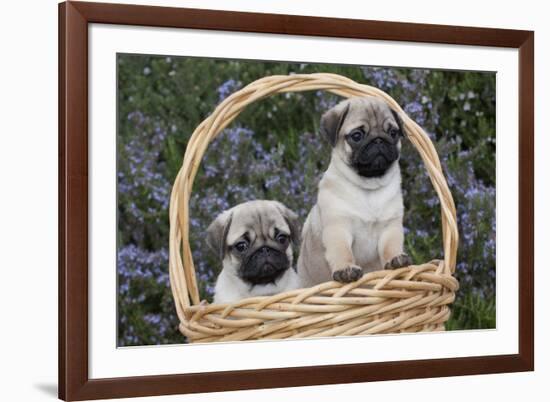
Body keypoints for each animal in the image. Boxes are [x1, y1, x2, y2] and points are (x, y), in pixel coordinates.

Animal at [298, 97, 414, 286]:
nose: (379, 140)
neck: (369, 185)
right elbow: (342, 251)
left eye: (393, 133)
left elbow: (390, 247)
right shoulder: (338, 228)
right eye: (357, 136)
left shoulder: (390, 228)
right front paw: (346, 270)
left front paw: (396, 259)